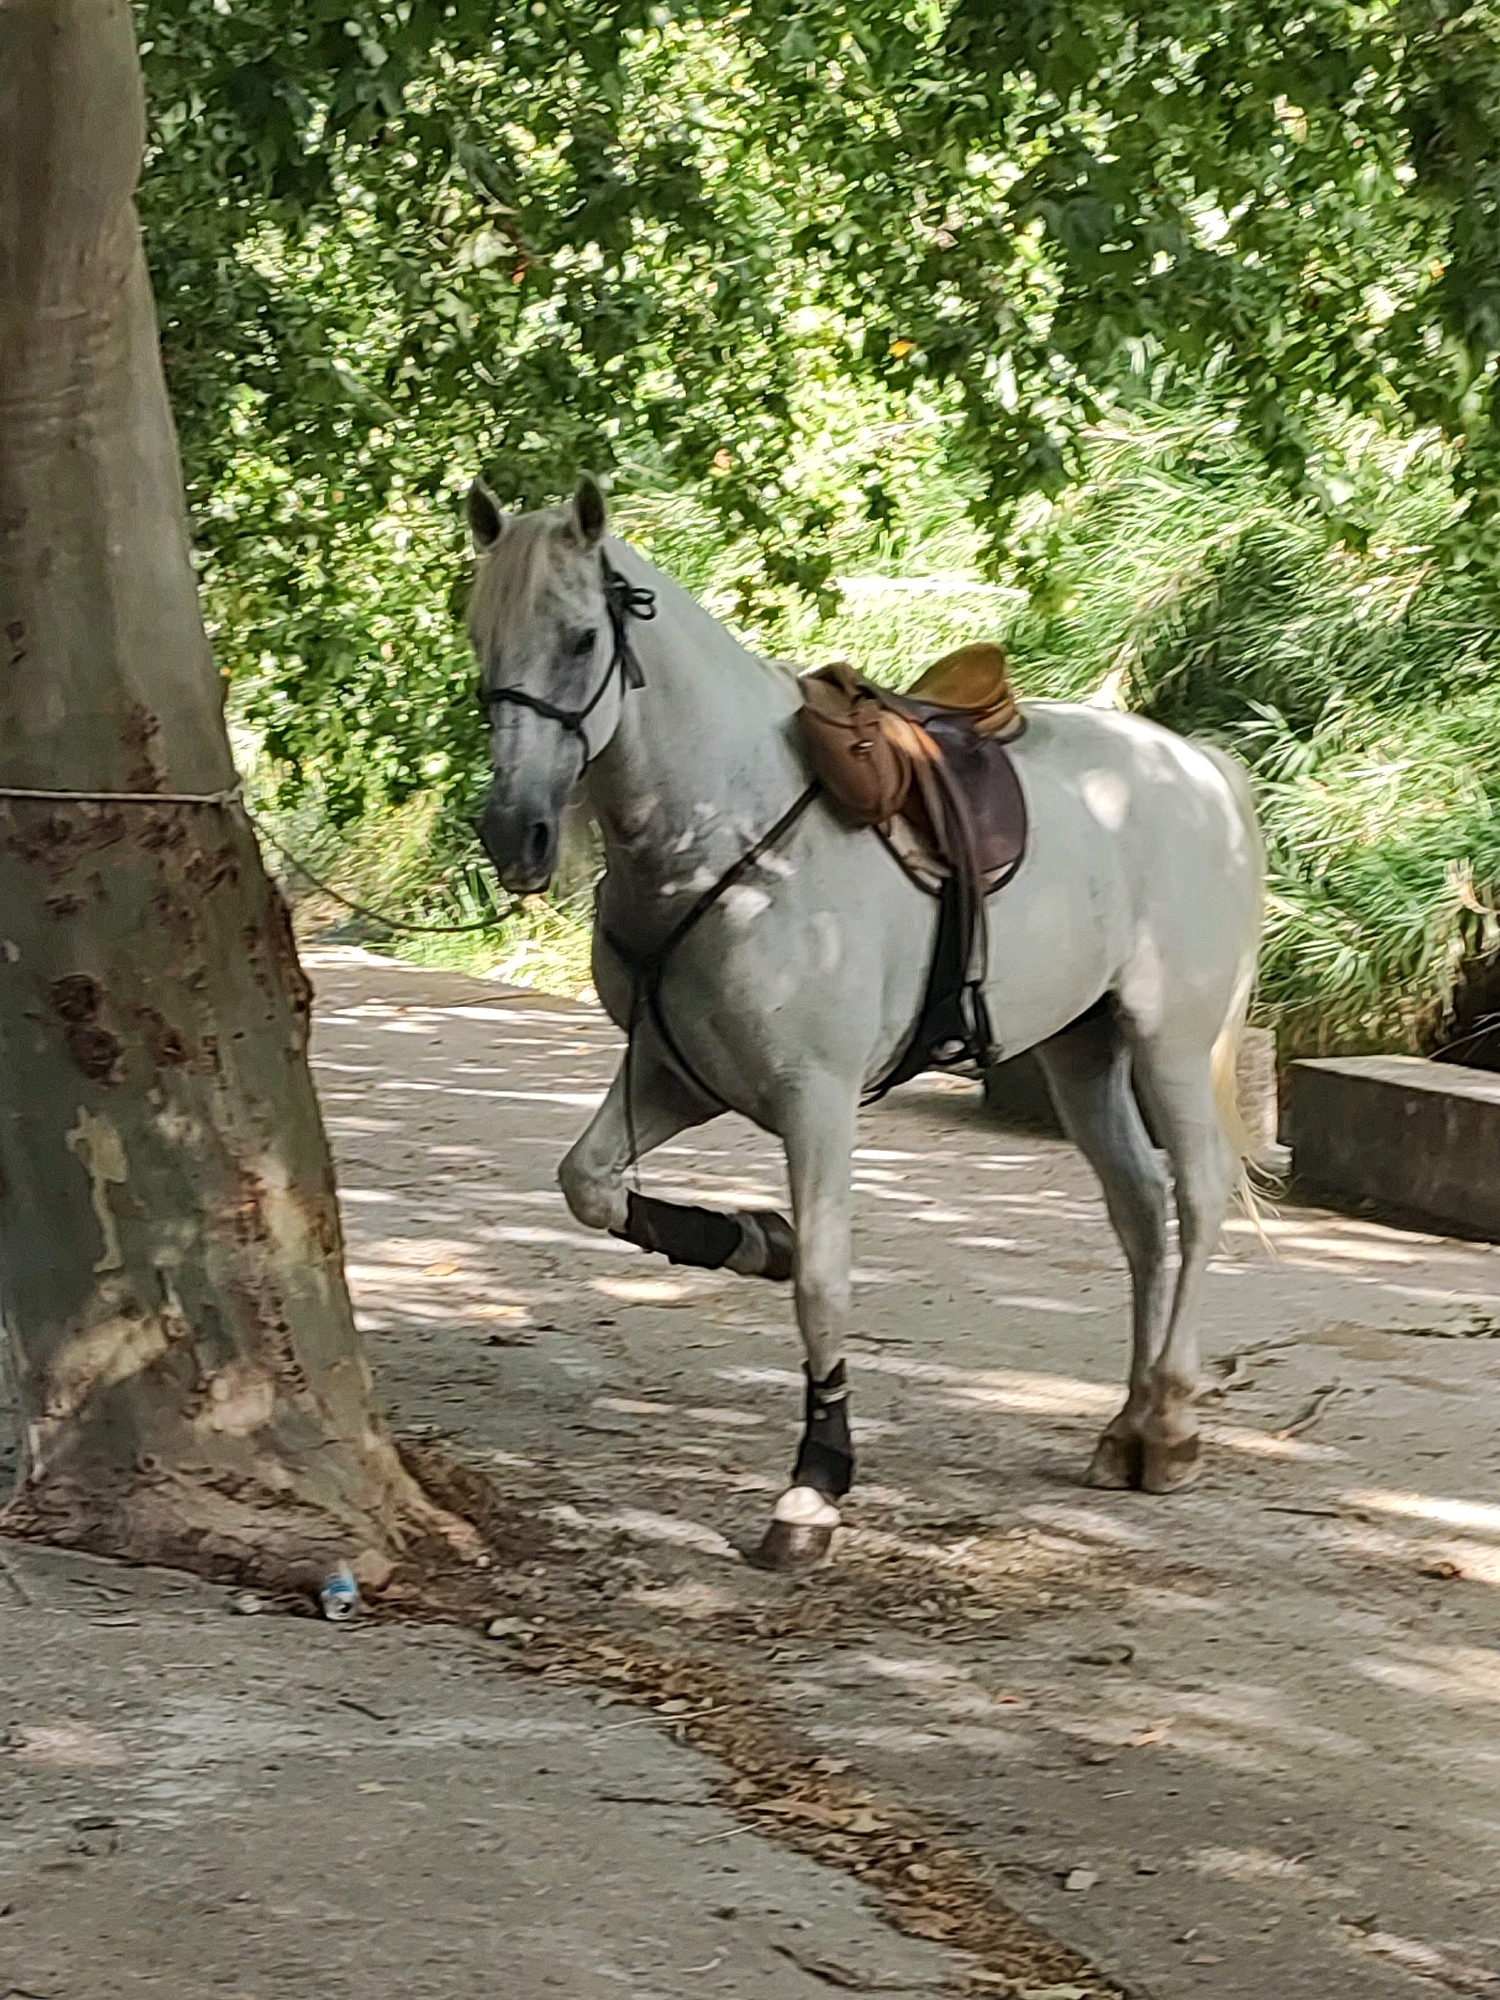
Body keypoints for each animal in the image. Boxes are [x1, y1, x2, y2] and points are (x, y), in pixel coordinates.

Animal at [466, 474, 1264, 1569]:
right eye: (478, 637)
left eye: (583, 638)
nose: (516, 832)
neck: (726, 831)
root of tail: (1201, 769)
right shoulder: (674, 1074)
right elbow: (590, 1185)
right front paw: (756, 1237)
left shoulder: (817, 1097)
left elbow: (825, 1281)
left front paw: (815, 1483)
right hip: (1082, 1049)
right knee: (1141, 1210)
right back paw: (1132, 1423)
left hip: (1170, 1043)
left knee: (1198, 1194)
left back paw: (1174, 1422)